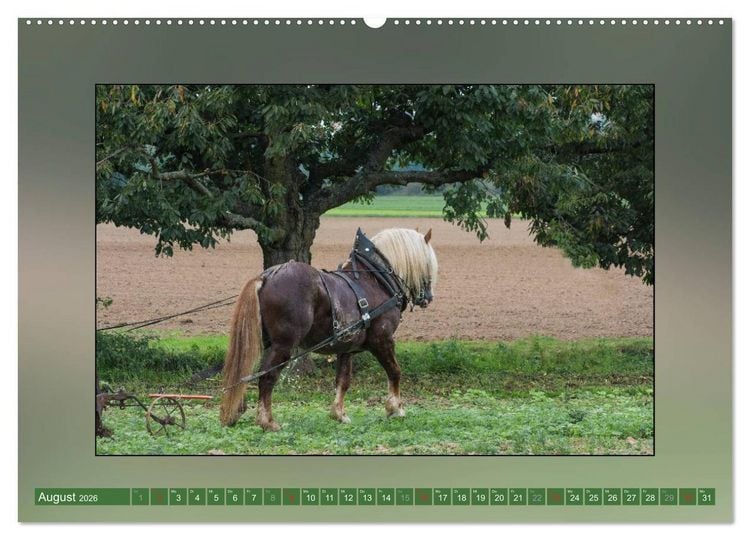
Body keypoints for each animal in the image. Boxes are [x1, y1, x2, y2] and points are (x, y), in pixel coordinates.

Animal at [219, 227, 438, 431]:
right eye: (429, 263)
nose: (428, 297)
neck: (375, 279)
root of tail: (267, 276)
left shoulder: (346, 348)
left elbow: (343, 380)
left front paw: (339, 414)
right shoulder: (382, 340)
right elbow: (394, 371)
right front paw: (395, 408)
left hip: (263, 342)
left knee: (246, 373)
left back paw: (236, 411)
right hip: (283, 346)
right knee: (267, 377)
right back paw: (267, 421)